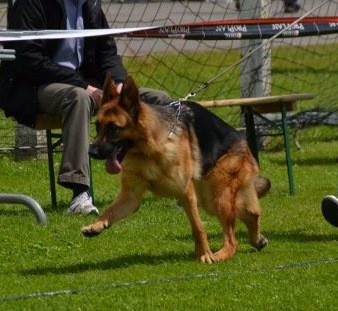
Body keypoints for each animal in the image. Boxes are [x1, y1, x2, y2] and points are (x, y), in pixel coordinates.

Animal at [81, 75, 270, 264]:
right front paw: (96, 225)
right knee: (251, 213)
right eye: (97, 126)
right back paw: (257, 240)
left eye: (114, 128)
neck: (150, 149)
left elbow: (198, 227)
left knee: (233, 240)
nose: (91, 152)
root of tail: (243, 141)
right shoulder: (131, 197)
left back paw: (221, 254)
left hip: (217, 195)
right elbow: (109, 210)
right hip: (209, 197)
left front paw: (205, 254)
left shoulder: (186, 193)